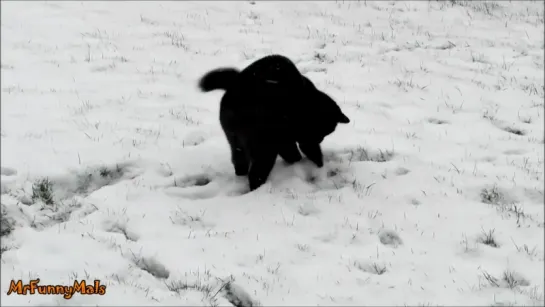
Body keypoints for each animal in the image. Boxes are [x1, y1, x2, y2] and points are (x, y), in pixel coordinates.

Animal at [199, 54, 348, 191]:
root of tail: (236, 90)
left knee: (239, 161)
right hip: (264, 146)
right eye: (323, 131)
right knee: (256, 173)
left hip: (235, 141)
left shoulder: (286, 139)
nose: (320, 139)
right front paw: (317, 166)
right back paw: (257, 190)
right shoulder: (300, 137)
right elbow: (308, 151)